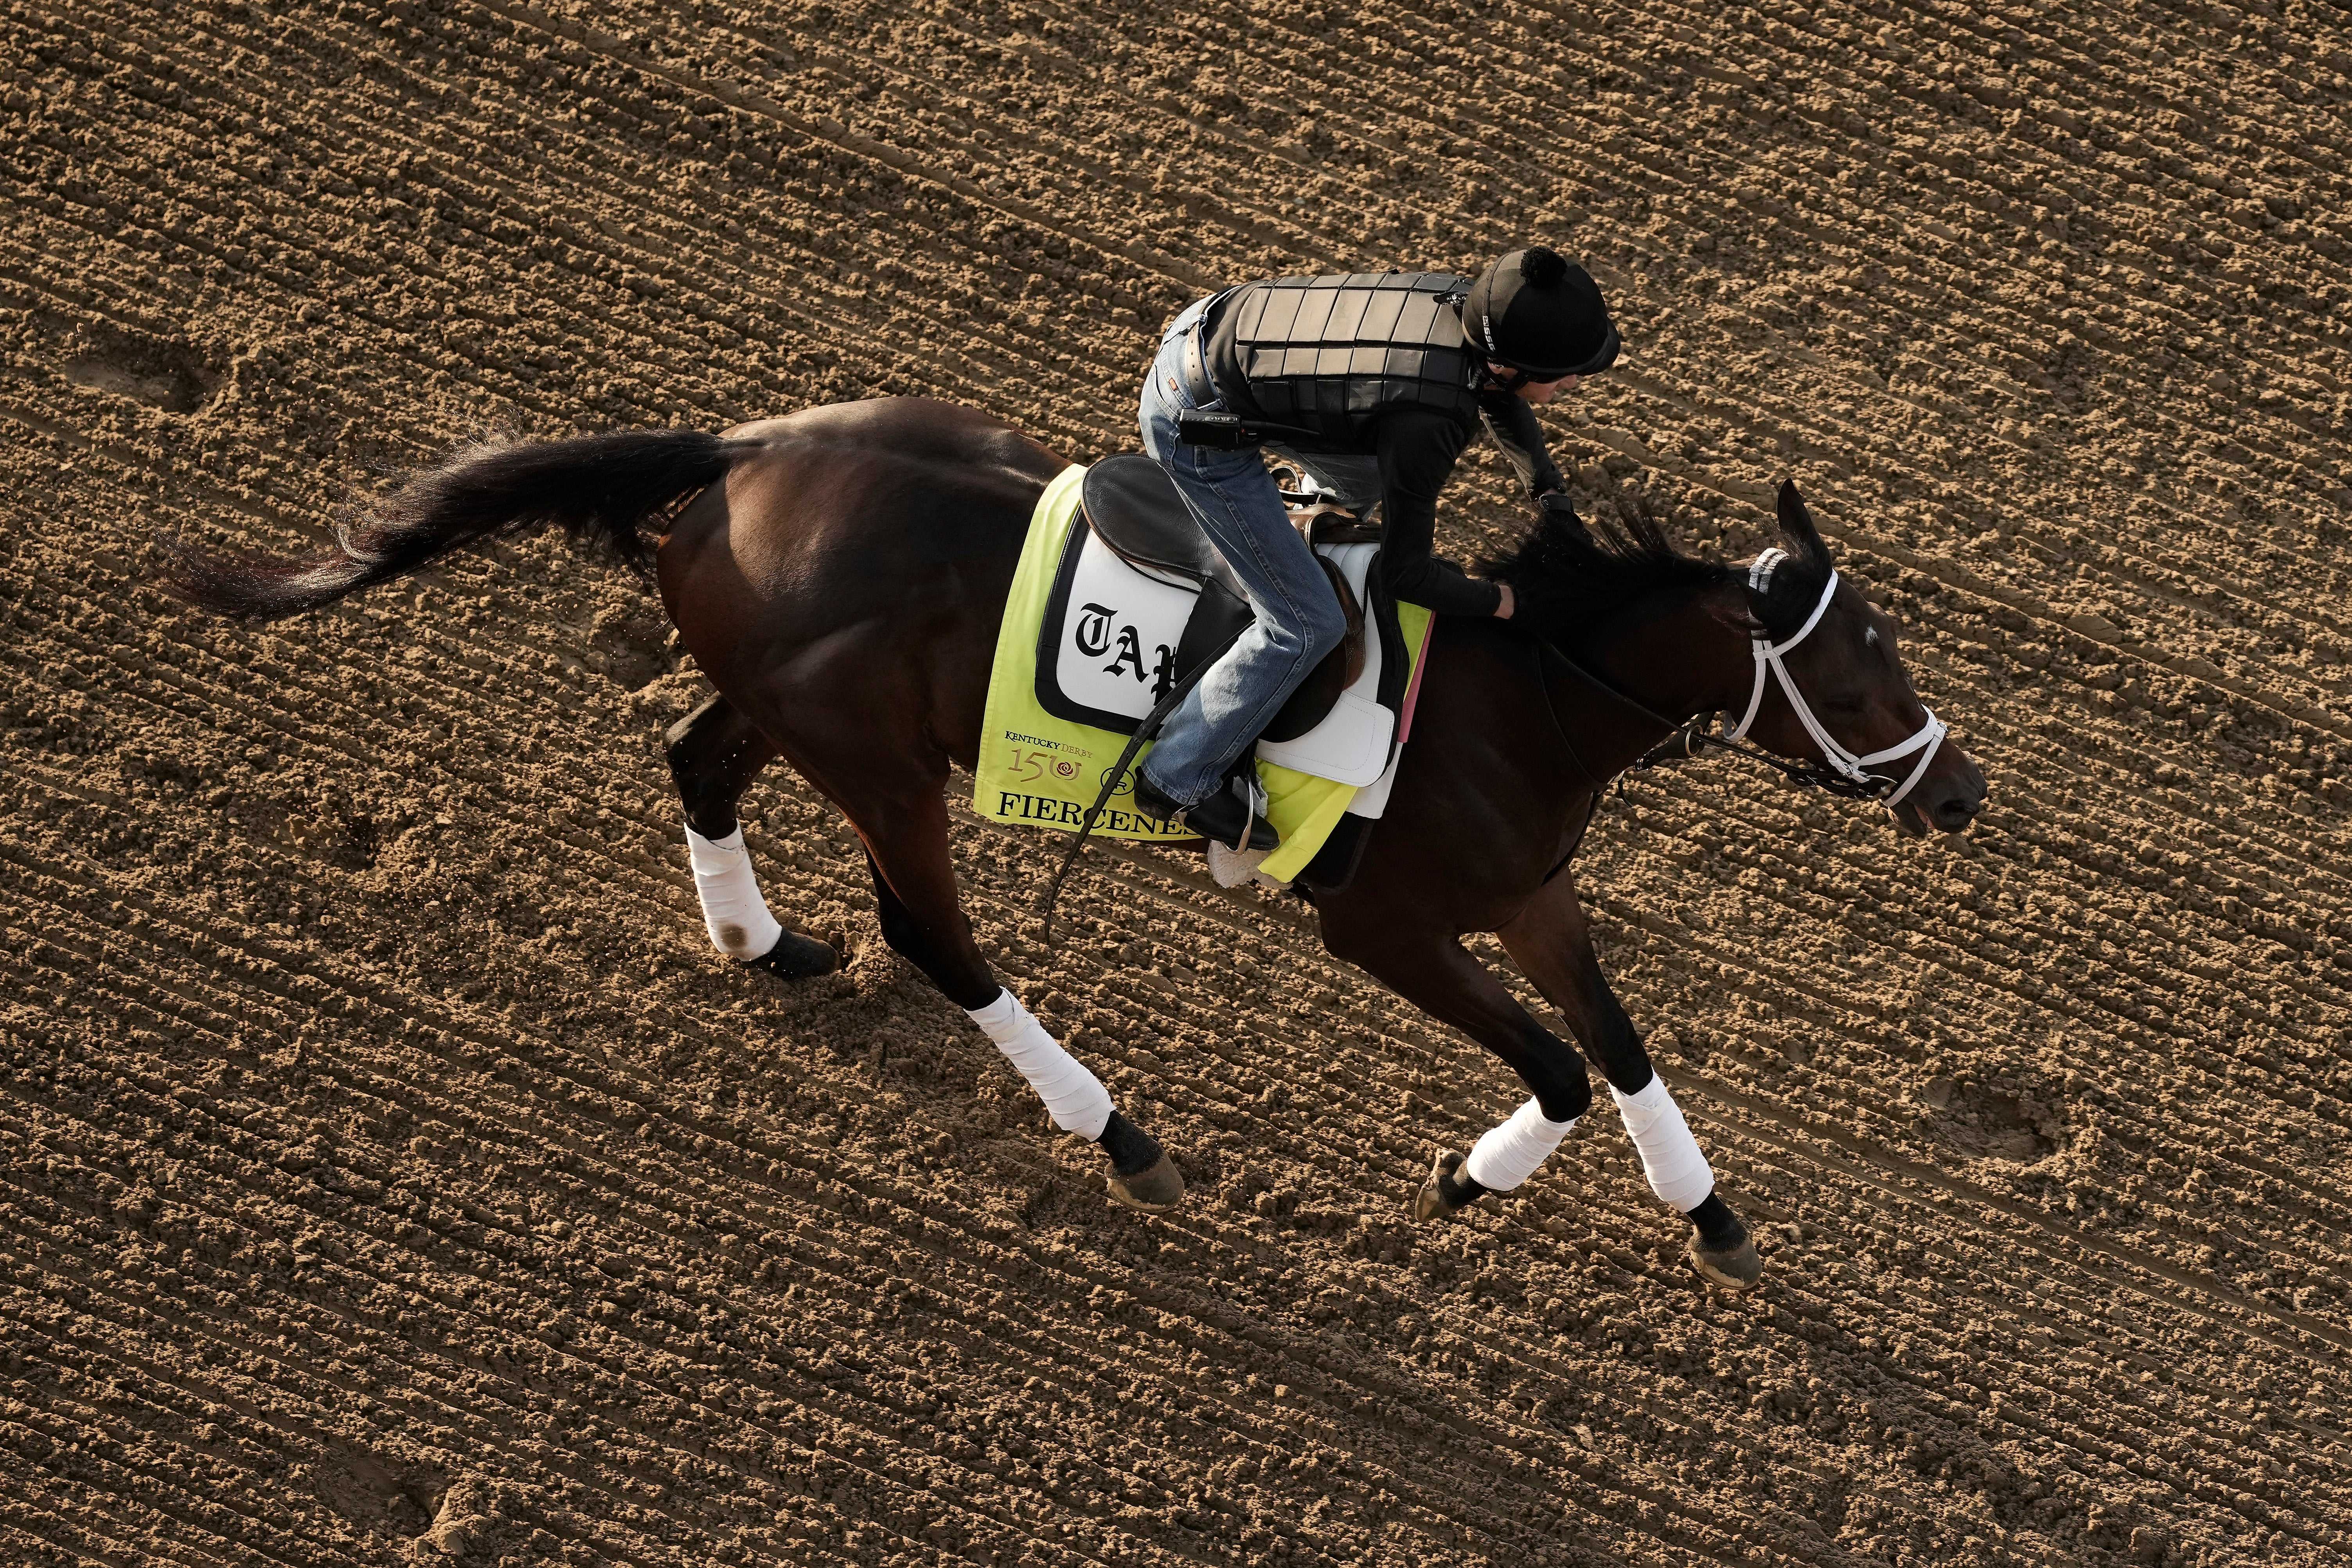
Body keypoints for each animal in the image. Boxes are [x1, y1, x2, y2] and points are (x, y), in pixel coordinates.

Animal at [158, 397, 1986, 1290]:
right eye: (1852, 666)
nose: (1959, 791)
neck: (1514, 690)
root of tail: (744, 455)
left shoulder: (1529, 892)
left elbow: (1619, 1042)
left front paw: (1710, 1216)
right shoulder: (1381, 922)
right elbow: (1550, 1064)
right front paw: (1469, 1179)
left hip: (810, 709)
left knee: (694, 759)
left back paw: (761, 939)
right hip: (881, 764)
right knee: (934, 936)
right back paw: (1118, 1134)